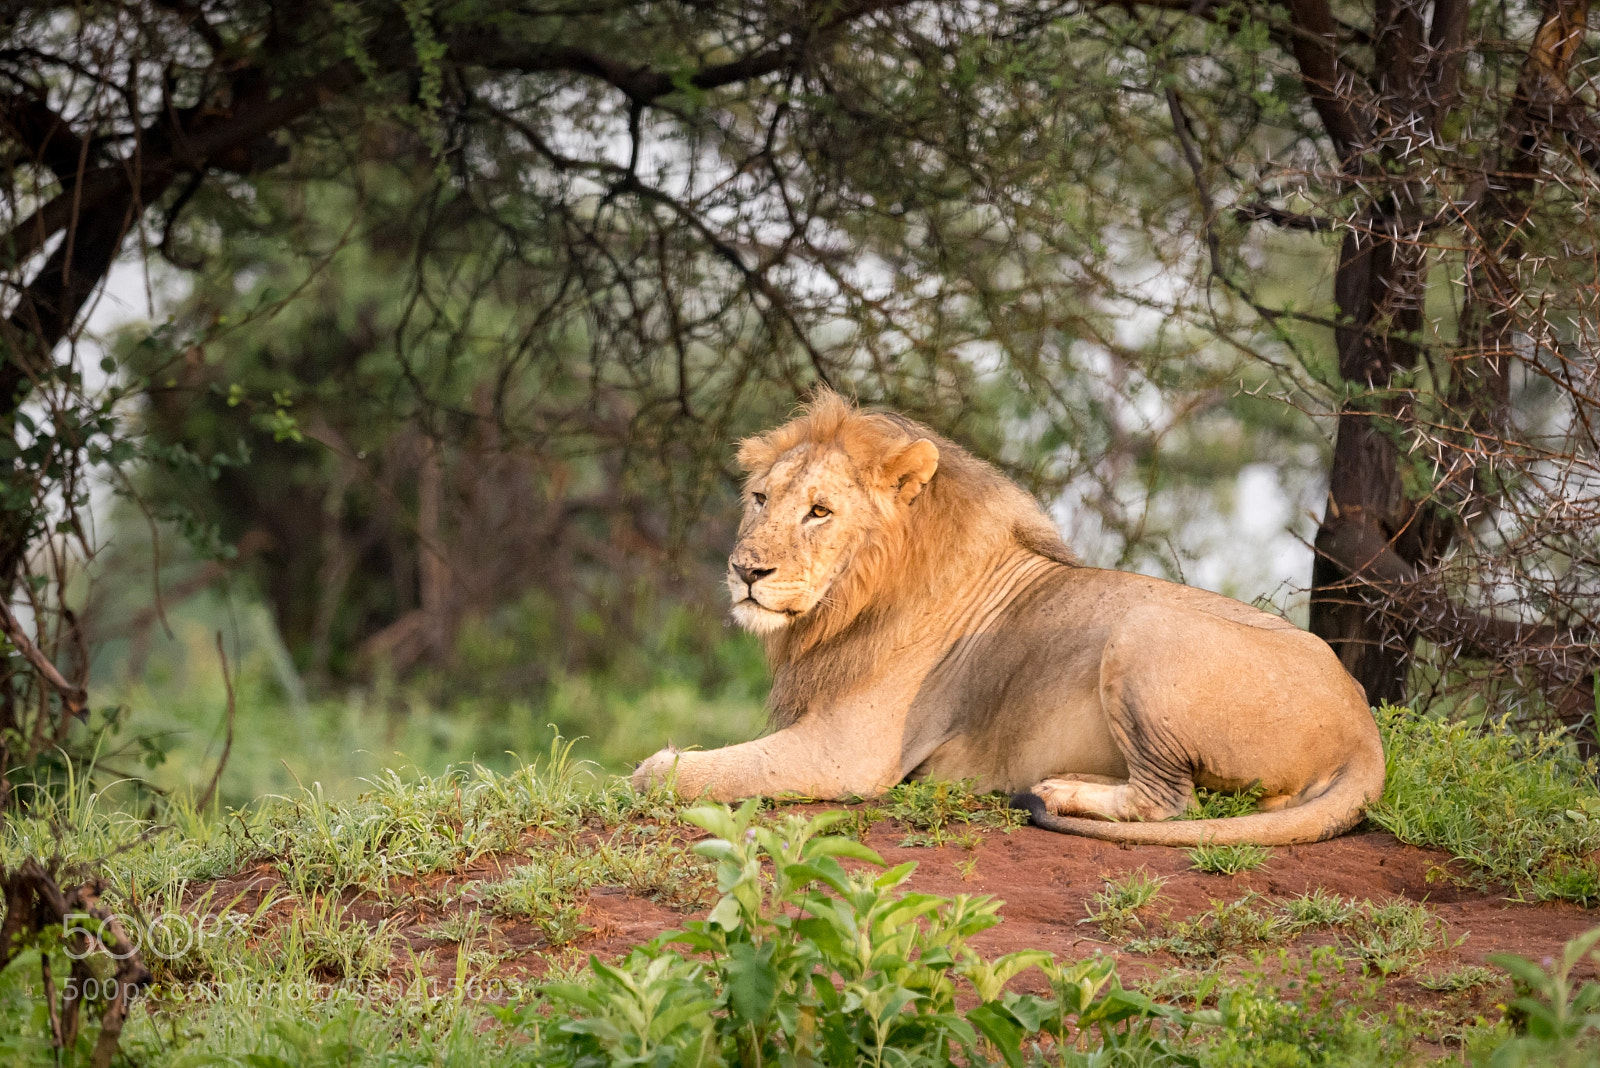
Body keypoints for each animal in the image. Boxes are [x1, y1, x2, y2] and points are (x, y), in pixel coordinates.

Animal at [631, 390, 1385, 845]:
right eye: (761, 498)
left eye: (820, 511)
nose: (745, 571)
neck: (849, 599)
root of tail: (1363, 727)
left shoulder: (848, 752)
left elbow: (673, 772)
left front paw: (651, 769)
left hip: (1143, 630)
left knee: (1170, 802)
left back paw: (1060, 790)